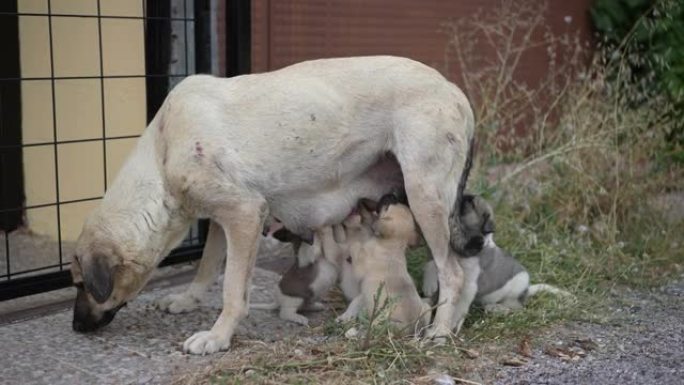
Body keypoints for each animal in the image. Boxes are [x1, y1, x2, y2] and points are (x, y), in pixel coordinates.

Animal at [338, 200, 430, 334]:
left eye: (386, 208)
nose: (390, 197)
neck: (393, 246)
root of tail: (411, 329)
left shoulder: (359, 266)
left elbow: (355, 245)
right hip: (427, 307)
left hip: (378, 321)